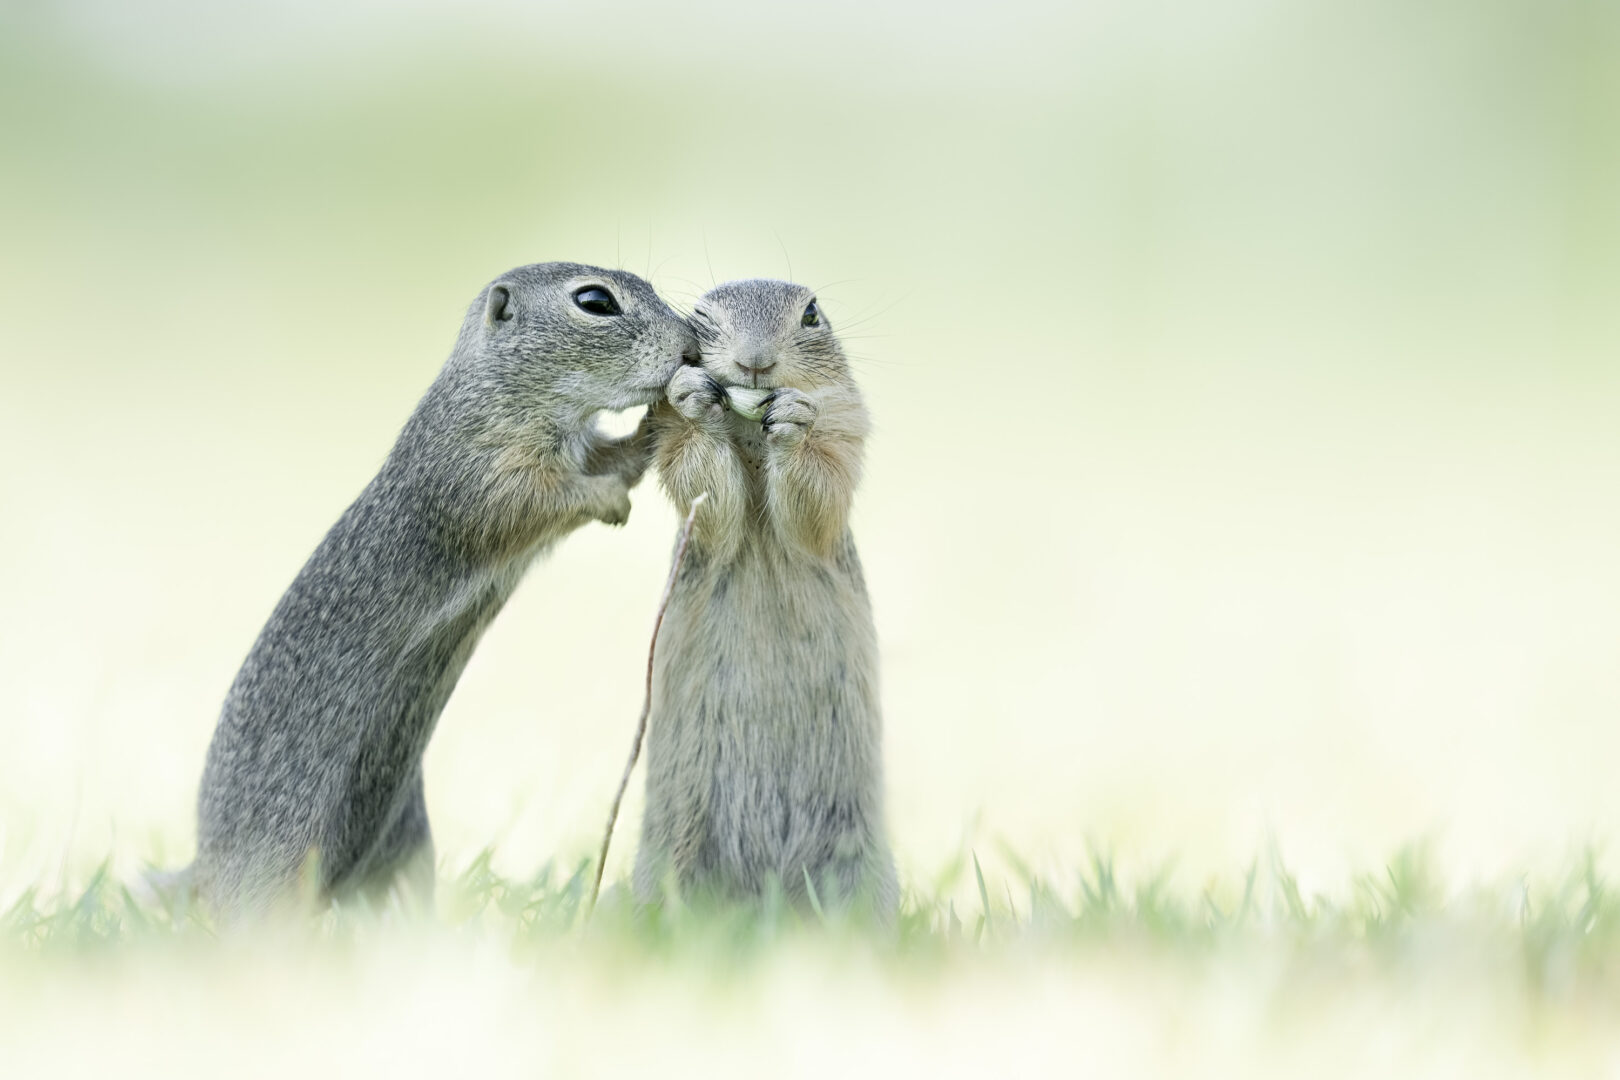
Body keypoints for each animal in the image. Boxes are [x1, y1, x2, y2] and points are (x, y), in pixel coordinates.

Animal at [189, 263, 697, 920]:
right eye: (595, 302)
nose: (690, 347)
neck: (498, 393)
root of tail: (198, 872)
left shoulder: (575, 447)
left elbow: (613, 456)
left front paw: (655, 424)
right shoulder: (481, 472)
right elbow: (542, 498)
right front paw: (608, 496)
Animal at [632, 279, 898, 919]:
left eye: (811, 314)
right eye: (700, 315)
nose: (755, 362)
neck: (752, 438)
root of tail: (766, 904)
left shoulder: (846, 424)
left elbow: (818, 496)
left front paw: (794, 421)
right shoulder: (668, 440)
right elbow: (705, 488)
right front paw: (695, 399)